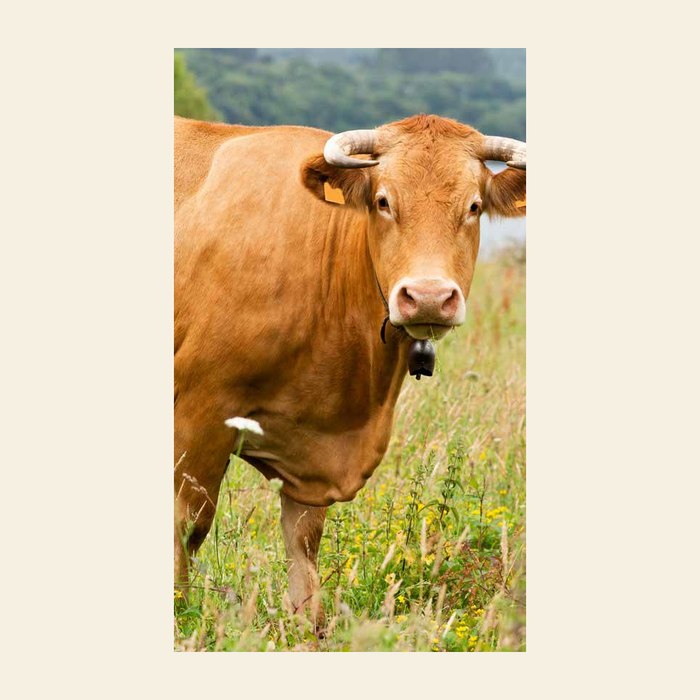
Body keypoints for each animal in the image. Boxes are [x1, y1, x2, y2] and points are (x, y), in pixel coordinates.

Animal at [174, 113, 526, 627]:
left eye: (474, 206)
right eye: (383, 202)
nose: (428, 297)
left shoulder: (313, 448)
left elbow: (304, 541)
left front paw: (307, 626)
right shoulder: (200, 407)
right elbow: (189, 523)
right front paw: (179, 614)